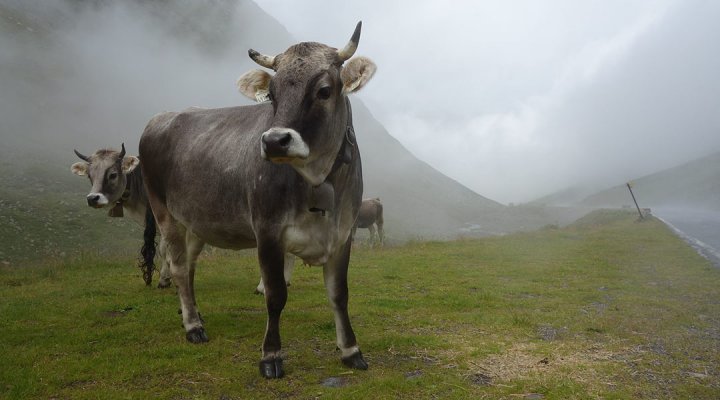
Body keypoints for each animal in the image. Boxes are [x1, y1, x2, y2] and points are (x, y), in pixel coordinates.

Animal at [139, 22, 380, 378]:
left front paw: (351, 350)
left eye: (324, 91)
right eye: (272, 95)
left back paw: (193, 313)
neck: (319, 179)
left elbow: (339, 294)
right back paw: (193, 326)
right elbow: (275, 295)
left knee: (191, 265)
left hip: (196, 220)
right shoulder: (267, 231)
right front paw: (271, 356)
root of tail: (162, 117)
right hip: (163, 210)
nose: (274, 141)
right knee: (179, 267)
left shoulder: (343, 234)